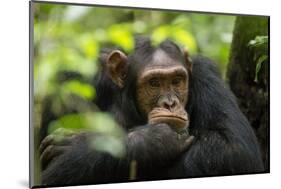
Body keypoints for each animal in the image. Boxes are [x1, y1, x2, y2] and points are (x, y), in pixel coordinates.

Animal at [38, 36, 264, 187]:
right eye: (154, 83)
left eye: (177, 81)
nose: (170, 103)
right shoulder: (72, 80)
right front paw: (153, 140)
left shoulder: (205, 75)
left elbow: (232, 148)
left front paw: (73, 142)